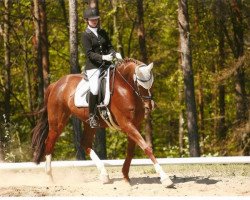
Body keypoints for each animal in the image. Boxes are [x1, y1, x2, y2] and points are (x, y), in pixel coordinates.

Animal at [31, 58, 173, 188]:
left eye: (151, 83)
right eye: (140, 84)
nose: (150, 106)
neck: (125, 88)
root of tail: (56, 84)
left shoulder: (135, 124)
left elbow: (131, 151)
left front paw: (125, 176)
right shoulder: (126, 124)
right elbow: (146, 148)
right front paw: (165, 178)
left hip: (90, 123)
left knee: (85, 143)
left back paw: (104, 175)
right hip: (57, 123)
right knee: (49, 143)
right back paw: (49, 177)